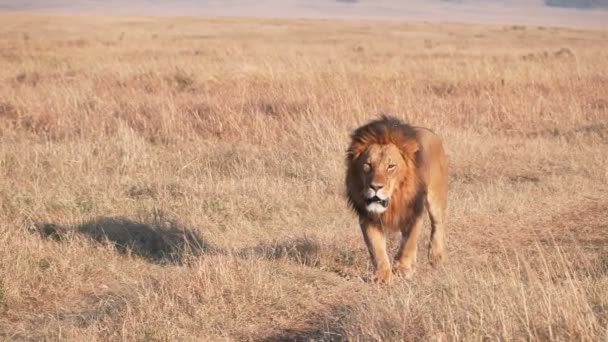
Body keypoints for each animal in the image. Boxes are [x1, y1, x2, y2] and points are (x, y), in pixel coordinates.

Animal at [344, 116, 448, 282]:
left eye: (391, 166)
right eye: (368, 165)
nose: (375, 187)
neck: (394, 200)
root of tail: (431, 132)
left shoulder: (414, 210)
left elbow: (409, 242)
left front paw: (402, 268)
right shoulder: (368, 217)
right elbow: (376, 248)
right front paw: (383, 275)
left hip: (435, 198)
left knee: (438, 224)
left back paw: (435, 256)